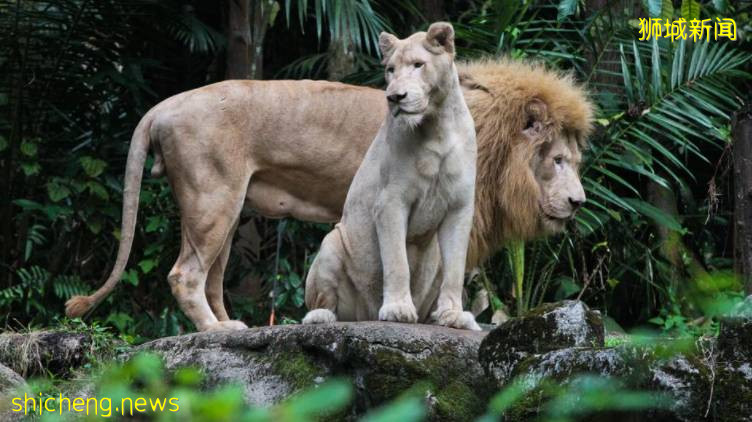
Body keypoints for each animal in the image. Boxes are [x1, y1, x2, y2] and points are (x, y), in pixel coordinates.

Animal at [64, 56, 592, 332]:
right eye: (557, 161)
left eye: (575, 161)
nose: (578, 202)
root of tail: (163, 106)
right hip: (212, 200)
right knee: (185, 274)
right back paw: (213, 330)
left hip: (225, 210)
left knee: (210, 277)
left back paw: (228, 327)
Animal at [302, 23, 478, 332]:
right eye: (390, 70)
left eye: (419, 65)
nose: (395, 97)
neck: (437, 128)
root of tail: (366, 313)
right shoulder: (390, 202)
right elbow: (397, 261)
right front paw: (397, 309)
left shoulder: (460, 207)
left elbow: (456, 268)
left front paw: (454, 315)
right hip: (333, 242)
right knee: (324, 304)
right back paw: (322, 316)